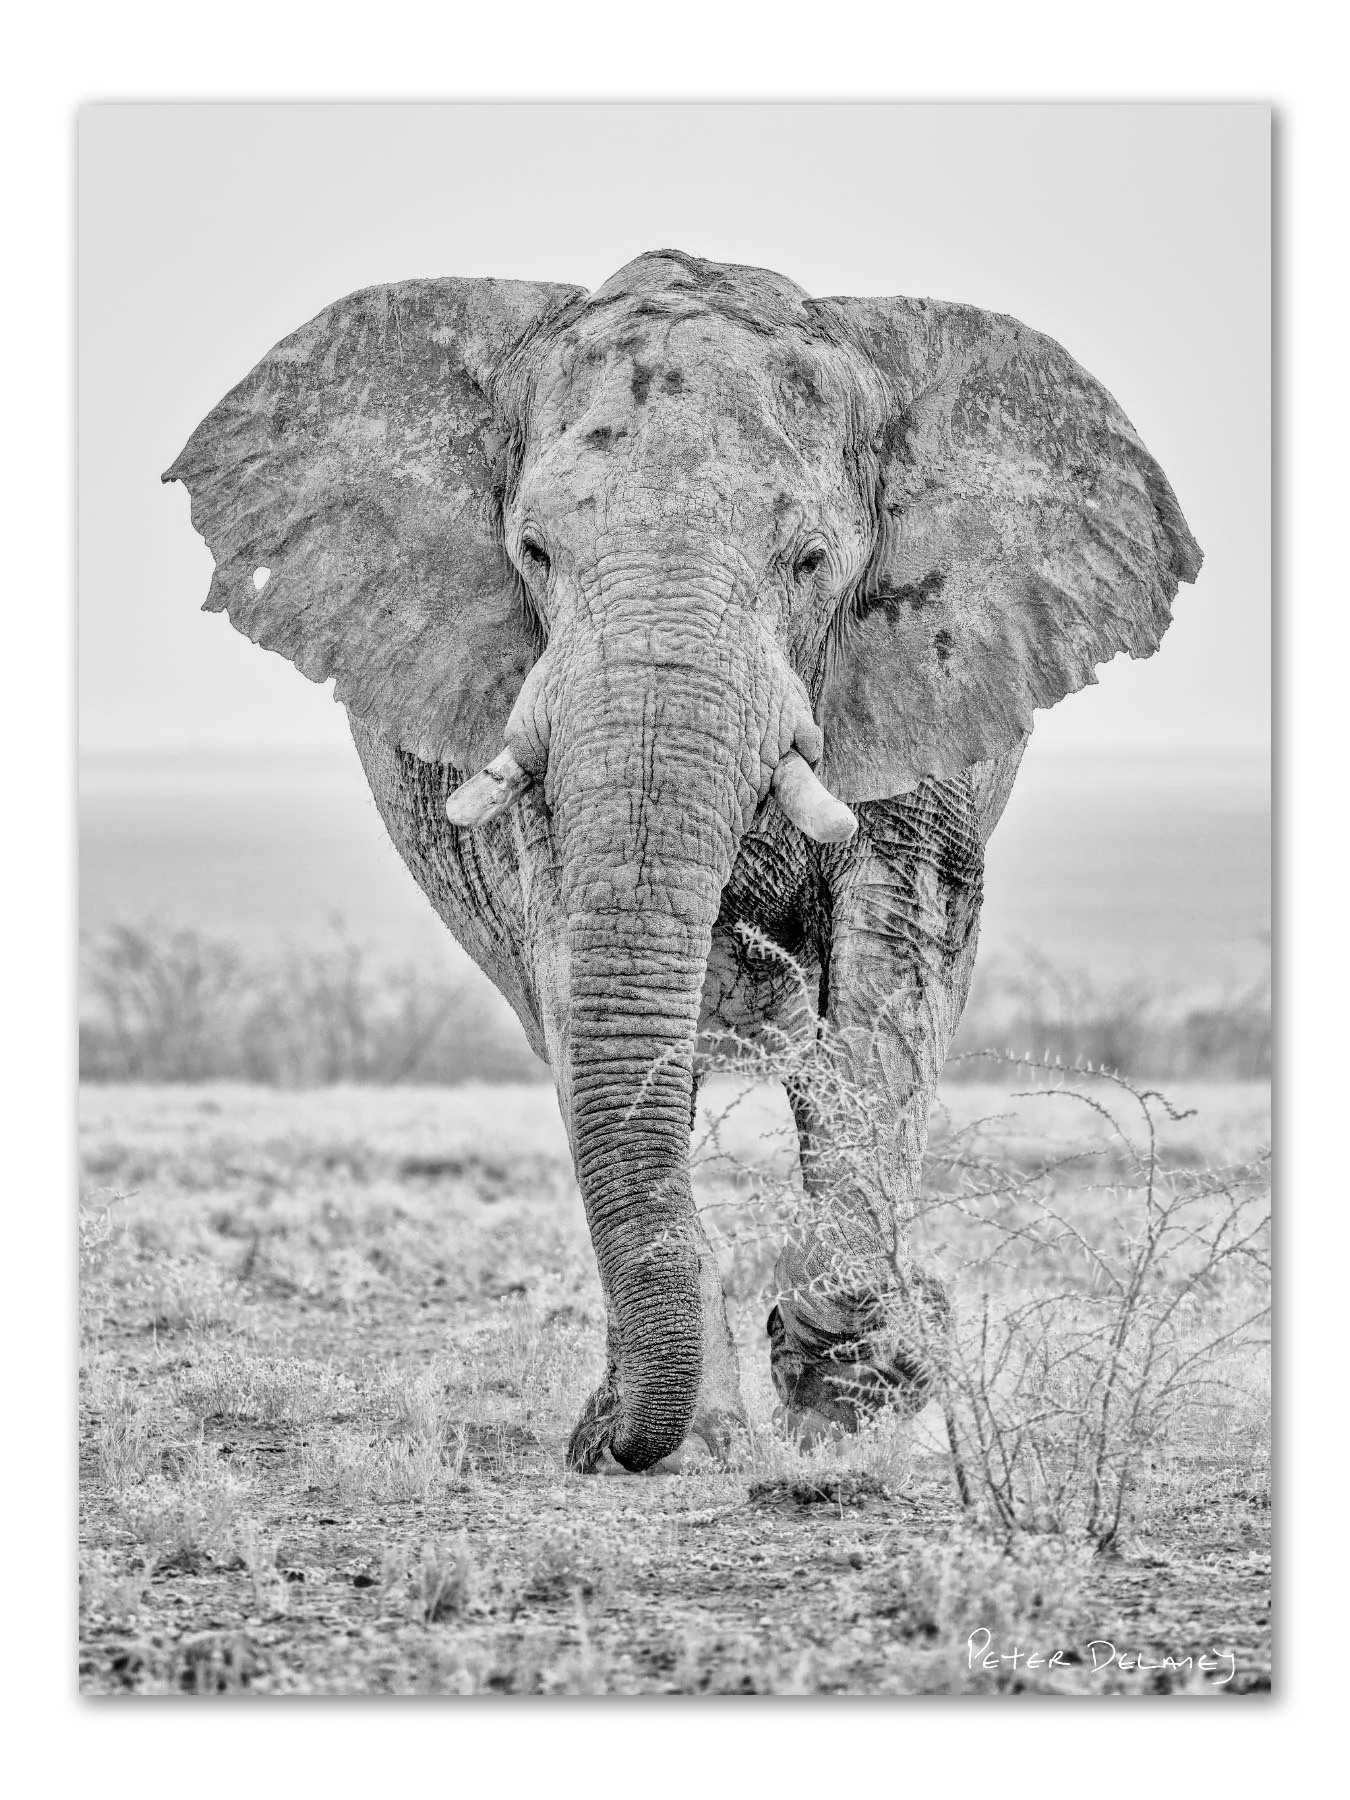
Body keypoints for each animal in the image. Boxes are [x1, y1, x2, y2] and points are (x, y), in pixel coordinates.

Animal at [164, 249, 1201, 1475]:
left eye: (810, 559)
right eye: (534, 552)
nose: (612, 1440)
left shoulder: (921, 682)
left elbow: (897, 962)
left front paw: (854, 1369)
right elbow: (576, 969)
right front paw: (717, 1421)